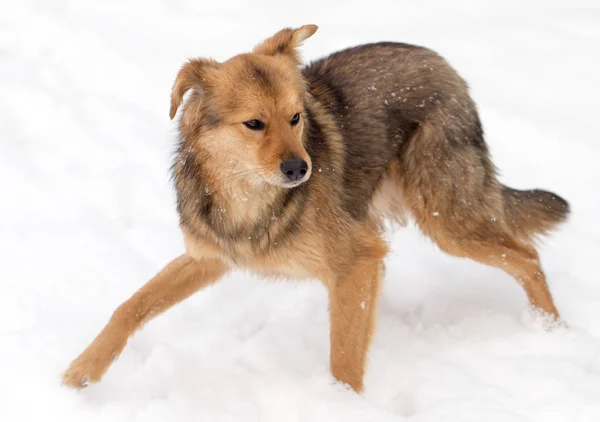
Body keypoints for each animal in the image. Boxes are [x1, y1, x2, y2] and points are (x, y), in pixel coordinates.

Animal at [63, 23, 568, 392]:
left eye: (295, 118)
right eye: (254, 124)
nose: (299, 169)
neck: (249, 198)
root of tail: (443, 63)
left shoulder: (356, 258)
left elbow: (343, 358)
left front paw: (343, 403)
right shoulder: (211, 255)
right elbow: (130, 306)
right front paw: (81, 372)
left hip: (447, 221)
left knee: (527, 256)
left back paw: (552, 331)